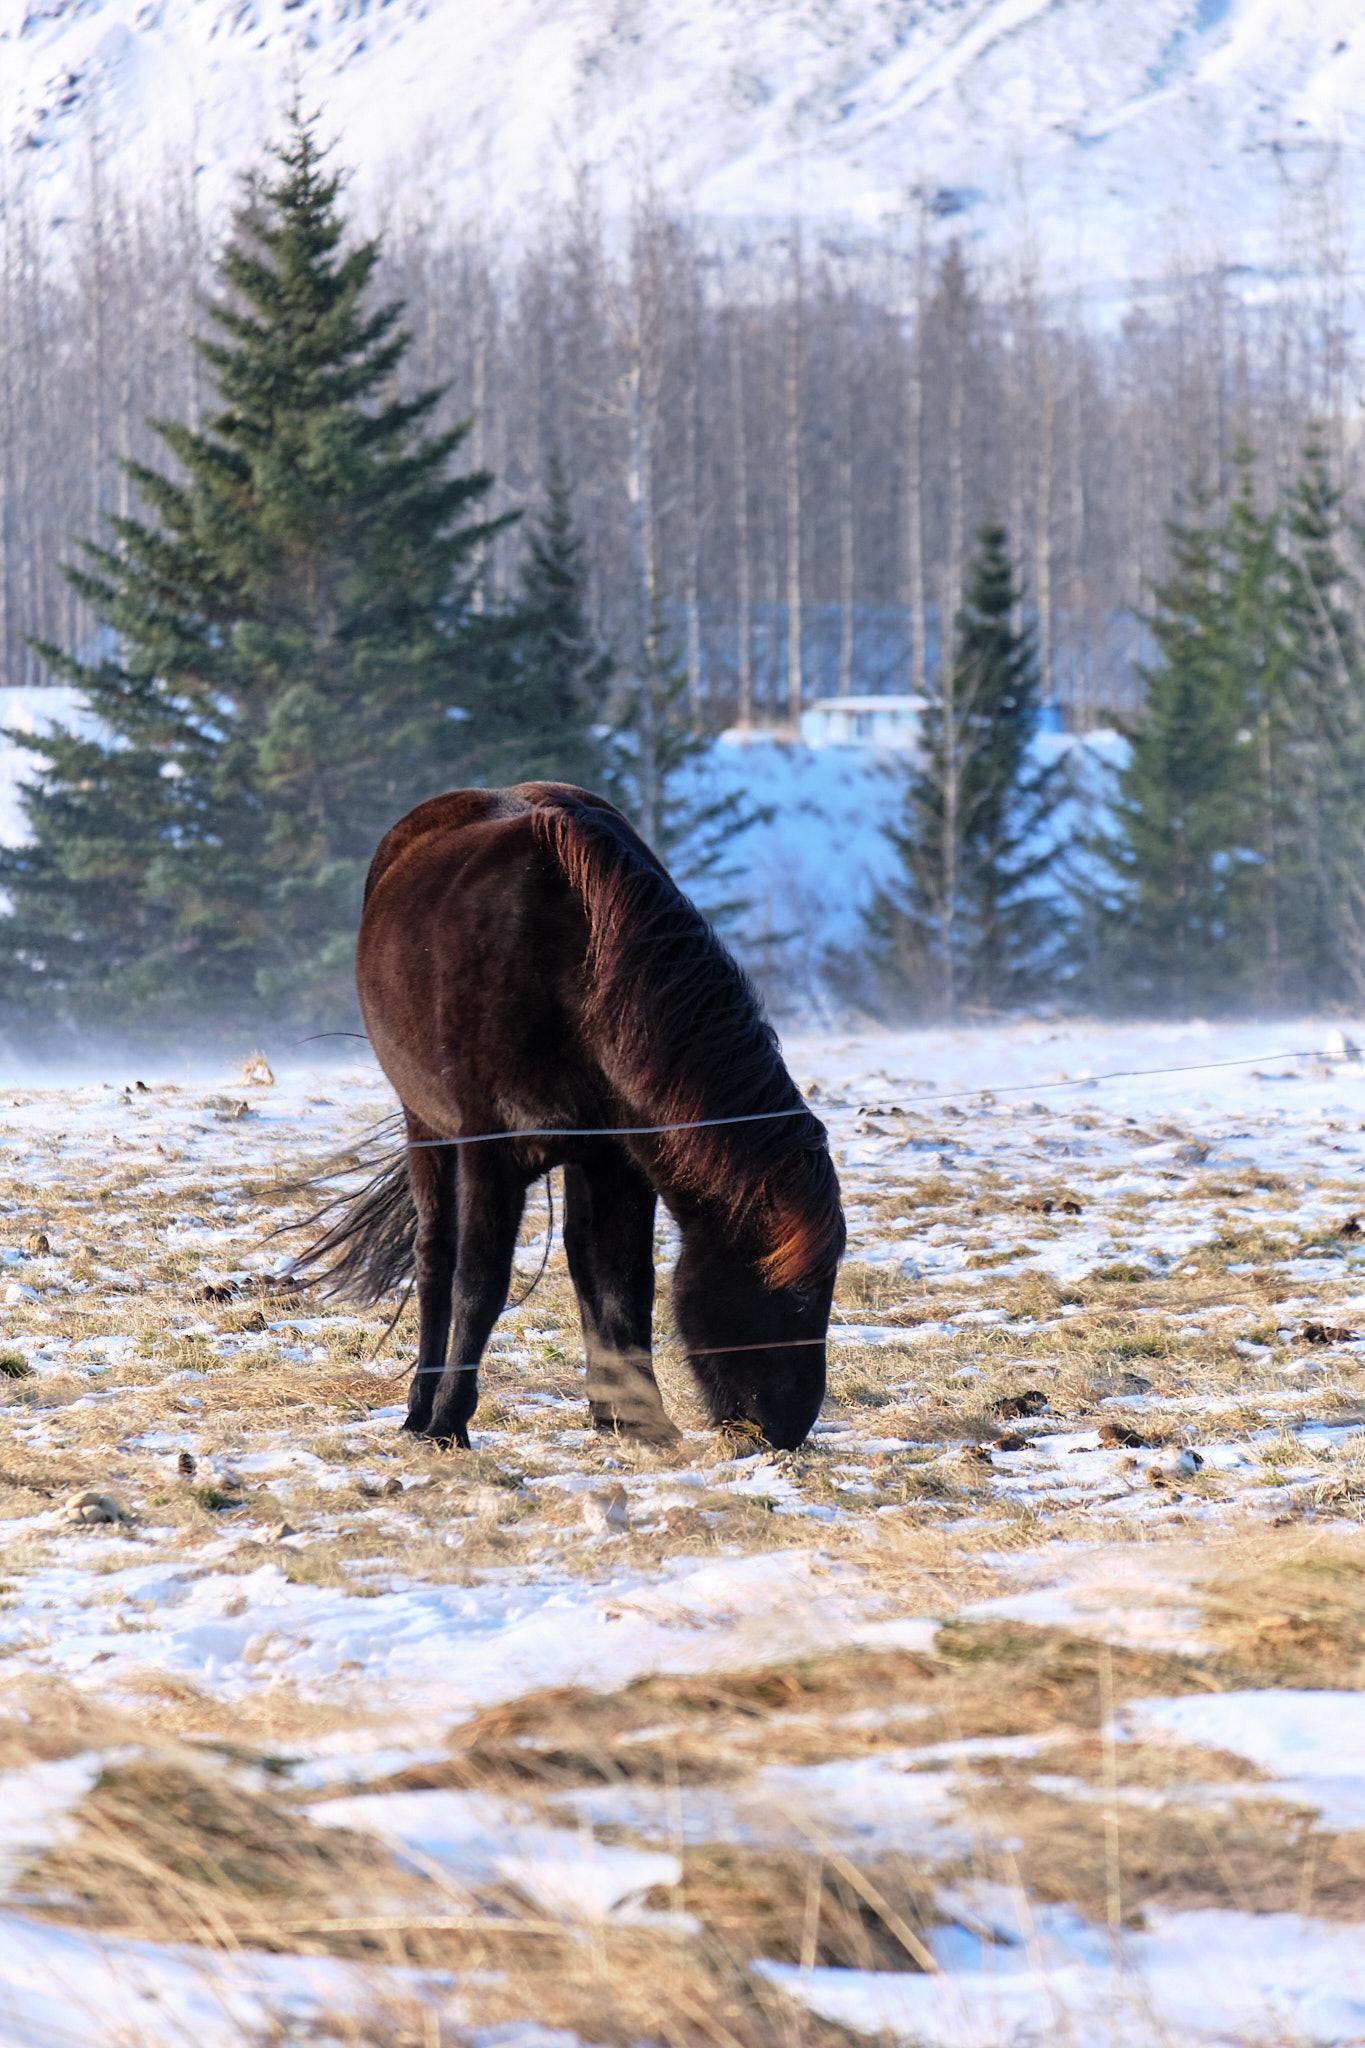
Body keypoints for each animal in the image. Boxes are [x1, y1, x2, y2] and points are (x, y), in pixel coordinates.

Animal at [297, 783, 845, 1452]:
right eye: (798, 1296)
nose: (788, 1428)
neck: (571, 971)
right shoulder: (489, 1154)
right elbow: (479, 1284)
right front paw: (450, 1422)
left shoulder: (617, 1158)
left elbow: (621, 1280)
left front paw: (640, 1422)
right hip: (426, 1128)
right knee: (435, 1260)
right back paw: (419, 1410)